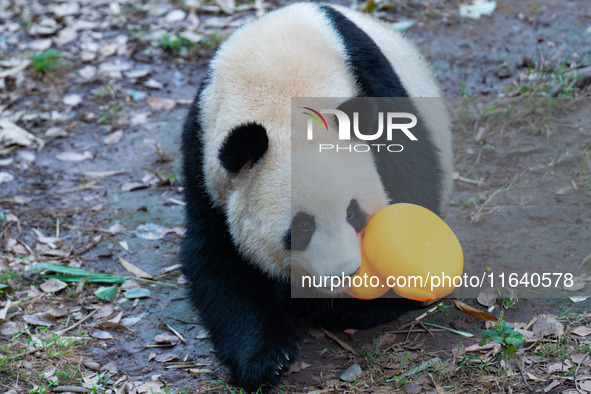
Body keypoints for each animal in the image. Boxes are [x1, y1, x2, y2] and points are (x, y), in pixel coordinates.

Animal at [180, 2, 454, 390]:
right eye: (302, 227)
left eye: (354, 213)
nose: (346, 274)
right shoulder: (206, 159)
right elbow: (217, 258)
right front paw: (266, 359)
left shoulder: (378, 93)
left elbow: (413, 190)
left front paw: (361, 304)